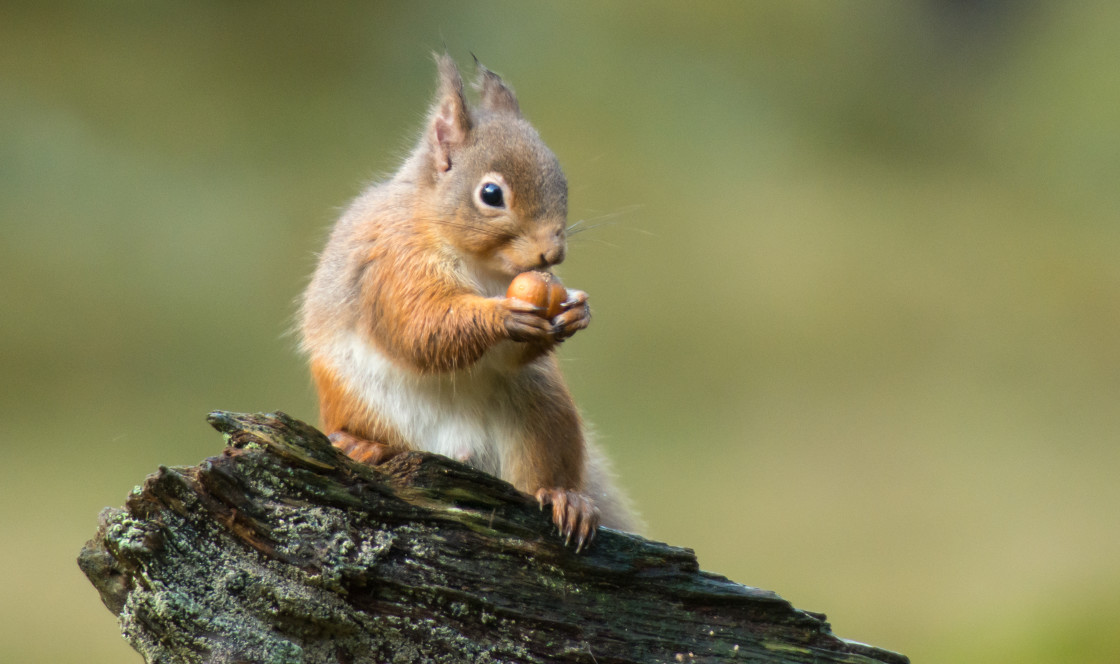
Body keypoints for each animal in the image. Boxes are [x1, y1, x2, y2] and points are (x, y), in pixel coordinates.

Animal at [300, 54, 640, 546]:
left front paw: (578, 310)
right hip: (359, 401)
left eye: (562, 182)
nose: (552, 253)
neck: (480, 264)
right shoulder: (394, 265)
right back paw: (361, 444)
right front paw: (503, 316)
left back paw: (566, 498)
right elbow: (421, 327)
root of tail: (459, 453)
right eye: (491, 194)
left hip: (543, 409)